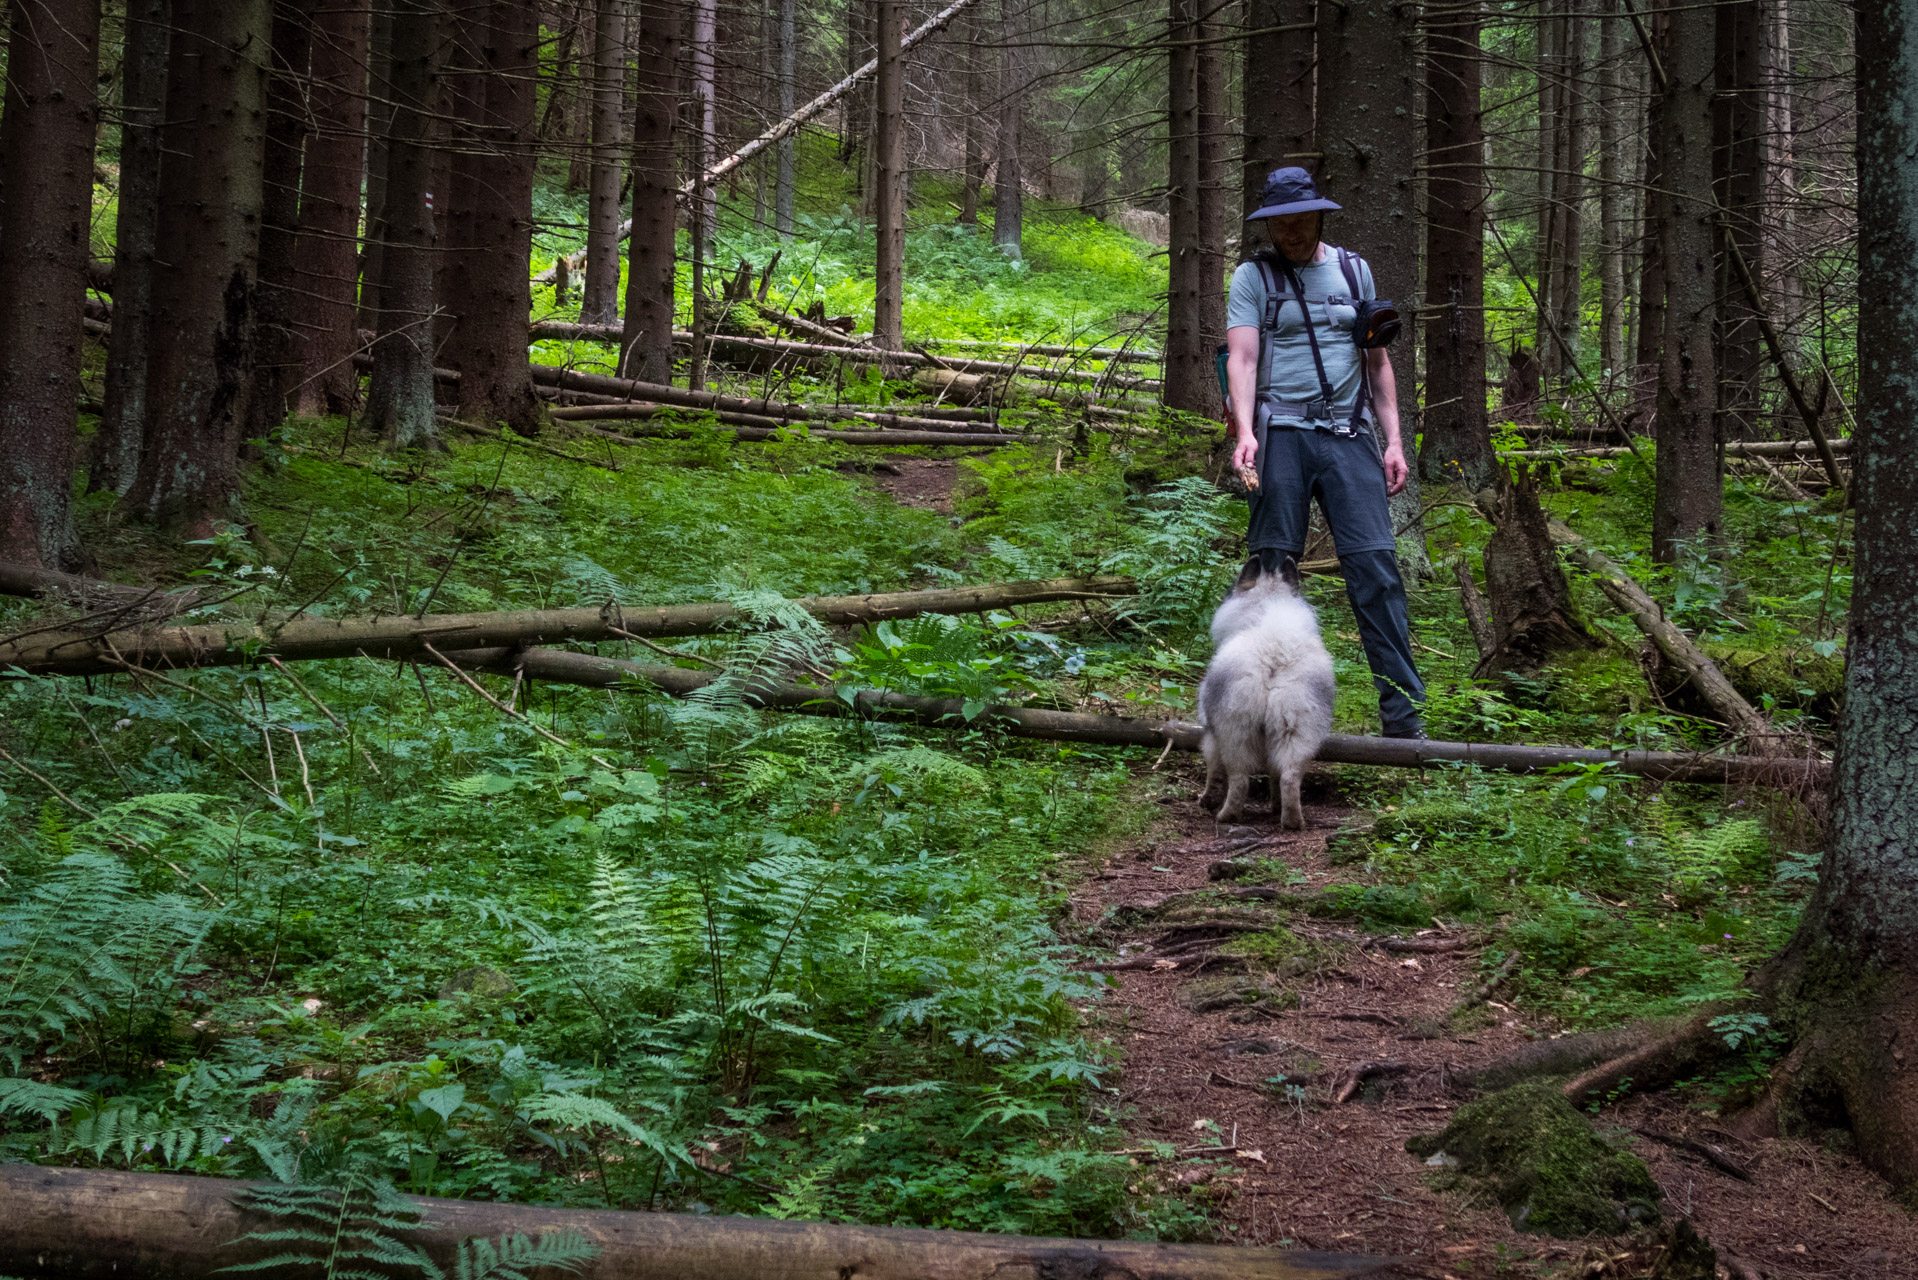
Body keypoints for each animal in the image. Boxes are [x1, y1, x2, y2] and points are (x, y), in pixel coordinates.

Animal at [1196, 556, 1334, 825]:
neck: (1266, 606)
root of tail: (1274, 658)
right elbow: (1274, 774)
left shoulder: (1211, 734)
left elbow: (1213, 771)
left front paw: (1206, 799)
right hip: (1297, 733)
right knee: (1288, 778)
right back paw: (1291, 820)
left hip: (1234, 732)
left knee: (1239, 781)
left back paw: (1226, 816)